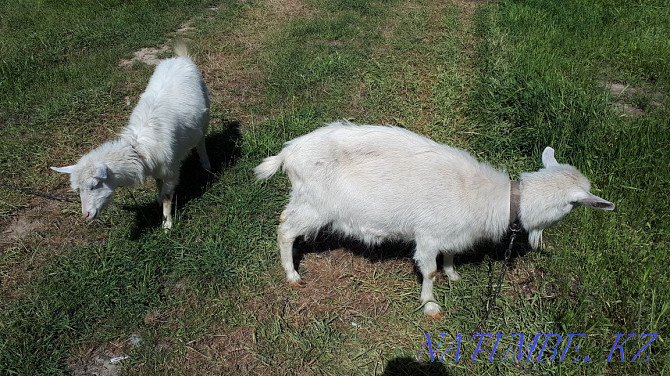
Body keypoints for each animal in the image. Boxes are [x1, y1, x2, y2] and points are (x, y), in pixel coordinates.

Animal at [51, 44, 210, 229]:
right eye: (77, 190)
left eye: (94, 185)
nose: (86, 215)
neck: (138, 149)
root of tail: (180, 58)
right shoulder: (157, 168)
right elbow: (158, 185)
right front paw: (158, 202)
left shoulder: (170, 170)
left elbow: (167, 196)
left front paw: (167, 224)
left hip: (205, 113)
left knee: (201, 140)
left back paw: (206, 164)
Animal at [255, 120, 616, 318]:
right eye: (574, 204)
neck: (487, 197)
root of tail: (288, 153)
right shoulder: (427, 234)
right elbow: (427, 270)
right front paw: (430, 305)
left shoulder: (451, 232)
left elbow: (451, 253)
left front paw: (453, 274)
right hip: (314, 205)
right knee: (285, 228)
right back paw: (292, 275)